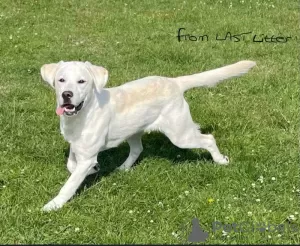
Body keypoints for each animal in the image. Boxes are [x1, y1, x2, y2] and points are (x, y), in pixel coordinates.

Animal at [39, 60, 255, 211]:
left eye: (82, 81)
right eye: (61, 80)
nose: (66, 94)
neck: (83, 114)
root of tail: (175, 82)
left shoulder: (87, 155)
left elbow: (69, 184)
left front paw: (53, 205)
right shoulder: (77, 147)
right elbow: (71, 165)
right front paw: (93, 170)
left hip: (180, 134)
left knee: (208, 138)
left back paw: (220, 160)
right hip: (134, 131)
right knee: (138, 149)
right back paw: (123, 168)